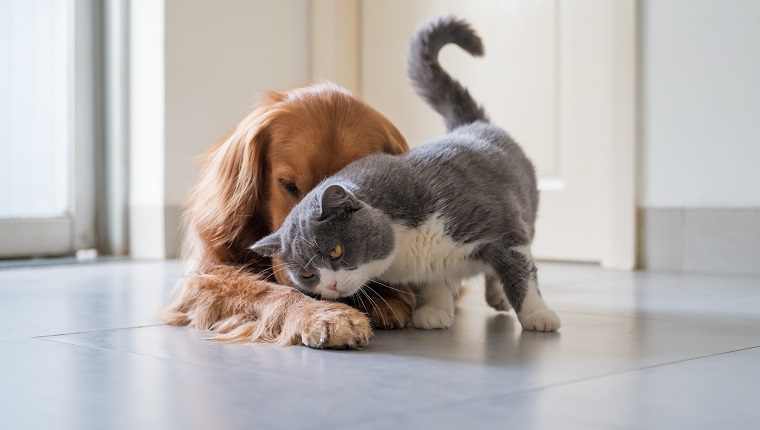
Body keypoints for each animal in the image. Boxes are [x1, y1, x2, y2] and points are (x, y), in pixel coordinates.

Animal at [249, 15, 560, 332]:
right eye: (308, 275)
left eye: (336, 251)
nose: (331, 287)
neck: (406, 251)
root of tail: (471, 124)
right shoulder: (432, 265)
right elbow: (436, 281)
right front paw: (434, 311)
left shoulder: (502, 226)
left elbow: (520, 274)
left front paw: (538, 315)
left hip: (525, 214)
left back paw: (502, 298)